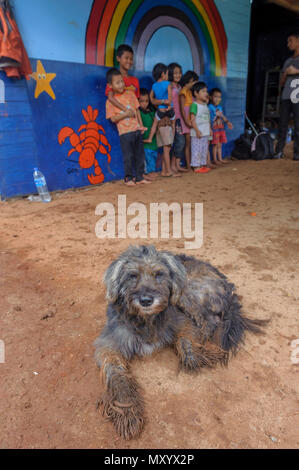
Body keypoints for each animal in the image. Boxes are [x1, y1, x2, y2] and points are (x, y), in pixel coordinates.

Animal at [94, 246, 268, 440]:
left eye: (159, 274)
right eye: (132, 276)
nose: (146, 301)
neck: (146, 321)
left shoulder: (181, 321)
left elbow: (187, 342)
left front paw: (200, 355)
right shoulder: (108, 344)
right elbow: (117, 375)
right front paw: (126, 410)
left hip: (187, 293)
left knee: (208, 322)